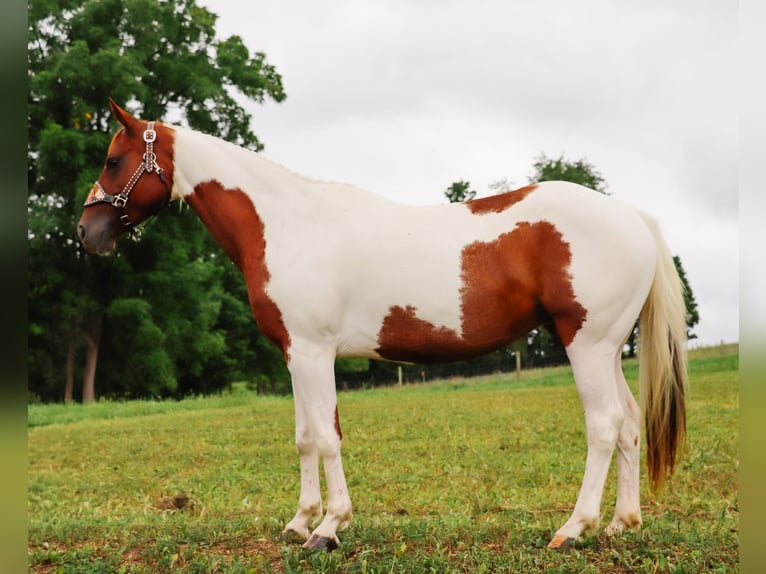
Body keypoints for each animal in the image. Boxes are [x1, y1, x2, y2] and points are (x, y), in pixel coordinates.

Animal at [77, 100, 687, 551]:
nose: (86, 232)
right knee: (630, 424)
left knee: (605, 425)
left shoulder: (314, 353)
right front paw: (299, 521)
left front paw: (328, 527)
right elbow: (305, 437)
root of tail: (632, 217)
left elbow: (327, 436)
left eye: (113, 160)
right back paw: (619, 525)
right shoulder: (295, 354)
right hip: (607, 349)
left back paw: (572, 529)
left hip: (586, 344)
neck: (287, 224)